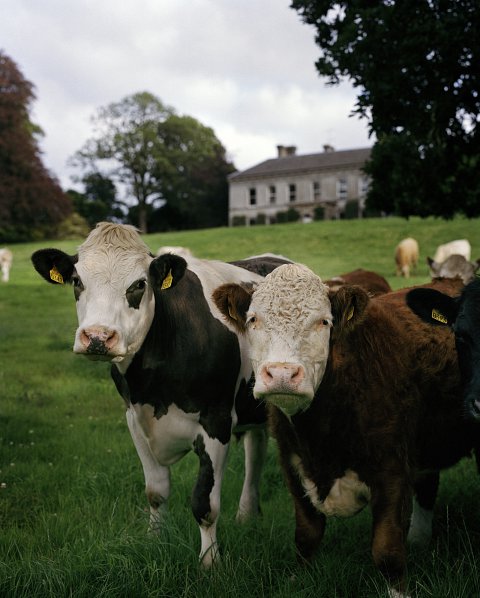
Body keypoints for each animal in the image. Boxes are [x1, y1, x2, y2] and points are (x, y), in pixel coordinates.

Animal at [31, 221, 286, 568]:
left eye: (139, 284)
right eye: (77, 281)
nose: (97, 337)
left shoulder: (216, 420)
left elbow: (205, 504)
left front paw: (210, 563)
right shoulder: (134, 417)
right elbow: (156, 491)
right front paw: (155, 540)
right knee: (256, 450)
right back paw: (247, 515)